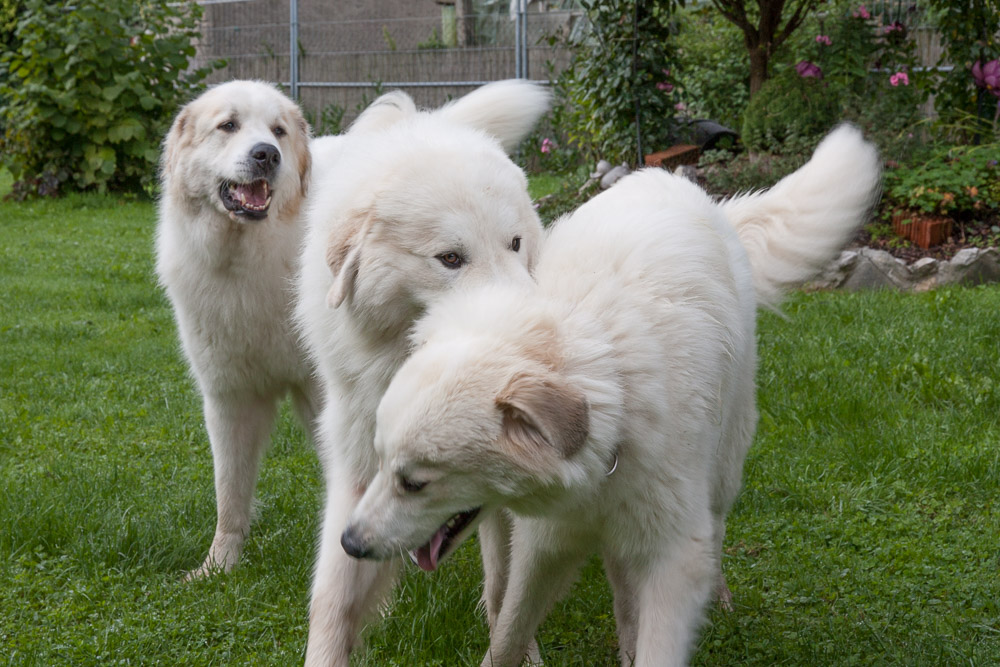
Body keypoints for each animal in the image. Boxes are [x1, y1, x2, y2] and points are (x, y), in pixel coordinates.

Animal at [156, 78, 316, 580]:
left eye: (278, 131)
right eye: (228, 126)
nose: (267, 154)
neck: (245, 261)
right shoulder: (229, 399)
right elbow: (229, 493)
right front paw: (218, 567)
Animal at [292, 79, 552, 667]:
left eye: (515, 244)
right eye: (450, 258)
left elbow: (507, 585)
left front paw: (516, 648)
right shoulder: (360, 462)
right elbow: (334, 593)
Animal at [342, 124, 884, 664]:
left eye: (415, 483)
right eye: (382, 465)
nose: (349, 543)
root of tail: (674, 181)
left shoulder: (673, 560)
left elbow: (657, 639)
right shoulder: (545, 547)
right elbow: (509, 634)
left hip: (725, 465)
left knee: (715, 529)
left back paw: (718, 596)